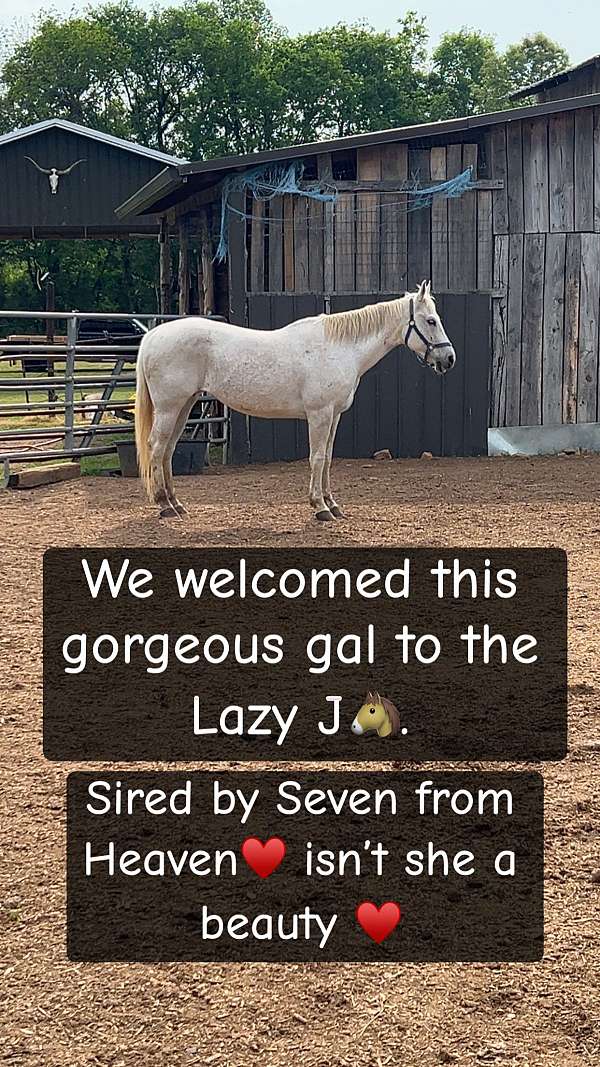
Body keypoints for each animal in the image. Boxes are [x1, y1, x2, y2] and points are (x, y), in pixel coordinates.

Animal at [134, 280, 455, 520]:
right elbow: (316, 458)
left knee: (168, 450)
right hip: (169, 407)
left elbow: (327, 458)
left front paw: (333, 504)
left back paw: (176, 504)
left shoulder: (334, 415)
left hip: (185, 405)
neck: (339, 348)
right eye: (431, 321)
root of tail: (153, 336)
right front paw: (320, 507)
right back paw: (164, 505)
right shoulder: (319, 414)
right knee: (157, 447)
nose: (449, 358)